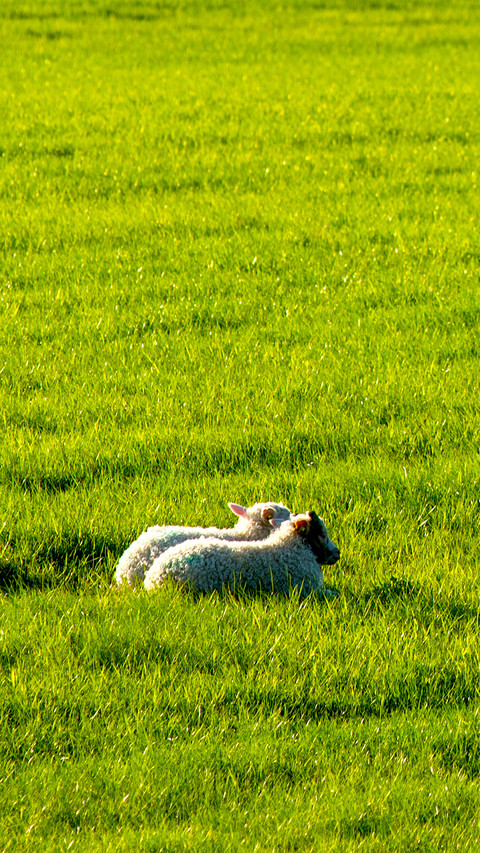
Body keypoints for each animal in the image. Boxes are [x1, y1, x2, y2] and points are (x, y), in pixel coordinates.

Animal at [143, 511, 340, 597]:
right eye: (322, 534)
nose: (338, 553)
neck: (292, 547)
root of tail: (153, 577)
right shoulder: (306, 589)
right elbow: (335, 594)